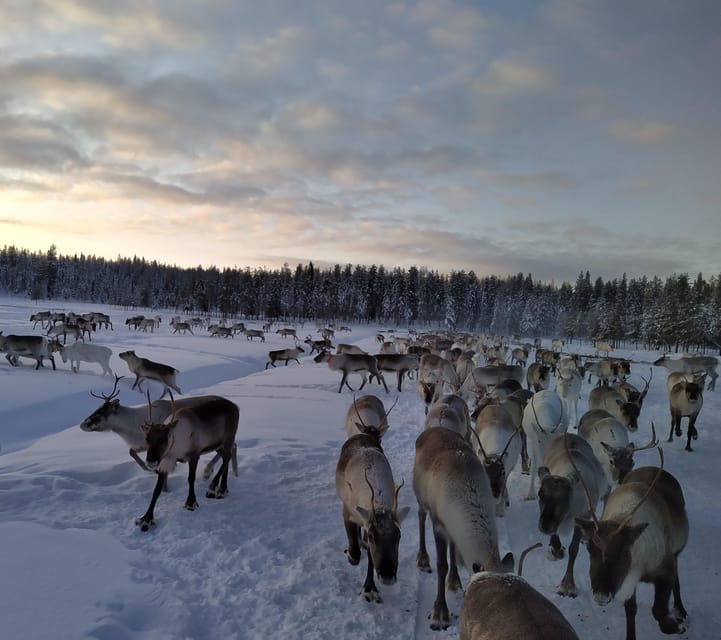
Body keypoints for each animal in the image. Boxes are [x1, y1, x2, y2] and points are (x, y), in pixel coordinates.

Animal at [135, 391, 240, 531]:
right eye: (147, 438)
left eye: (163, 439)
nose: (150, 460)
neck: (175, 446)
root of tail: (235, 406)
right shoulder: (164, 462)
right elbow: (156, 490)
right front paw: (146, 519)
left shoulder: (194, 455)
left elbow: (191, 478)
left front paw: (191, 503)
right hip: (218, 445)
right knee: (227, 457)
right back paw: (222, 490)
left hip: (228, 438)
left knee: (228, 456)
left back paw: (212, 489)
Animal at [335, 429, 409, 602]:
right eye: (372, 536)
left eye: (399, 536)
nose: (388, 576)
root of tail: (361, 433)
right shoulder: (347, 512)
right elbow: (355, 553)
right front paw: (351, 555)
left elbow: (370, 557)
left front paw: (369, 589)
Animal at [413, 426, 514, 630]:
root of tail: (429, 431)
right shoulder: (439, 525)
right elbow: (441, 565)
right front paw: (440, 613)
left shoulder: (452, 526)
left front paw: (453, 581)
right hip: (420, 499)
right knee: (421, 516)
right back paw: (423, 559)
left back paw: (454, 580)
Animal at [575, 453, 689, 640]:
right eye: (589, 549)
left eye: (624, 552)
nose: (601, 596)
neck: (638, 567)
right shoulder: (627, 580)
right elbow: (630, 610)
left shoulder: (665, 568)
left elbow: (658, 609)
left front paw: (675, 626)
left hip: (677, 551)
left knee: (678, 578)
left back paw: (681, 610)